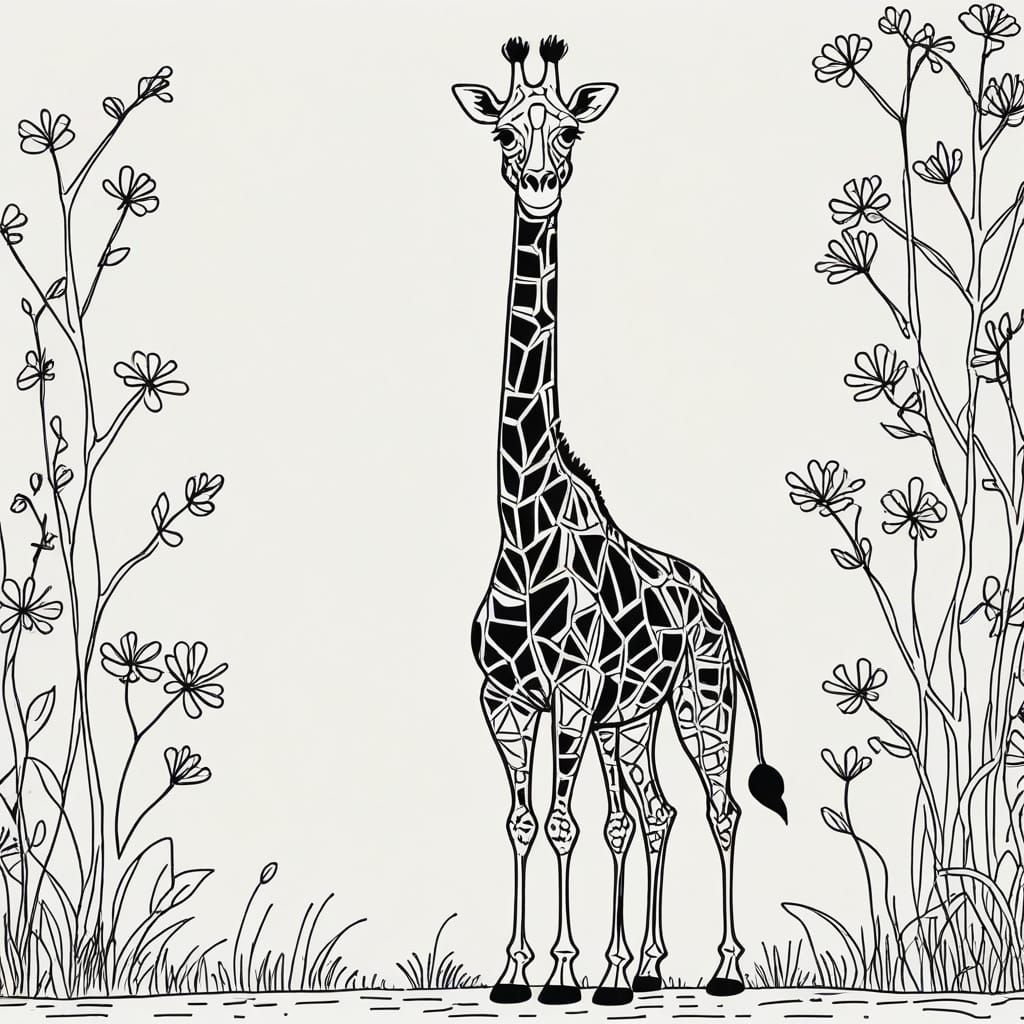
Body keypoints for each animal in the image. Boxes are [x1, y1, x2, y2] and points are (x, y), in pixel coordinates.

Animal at [453, 37, 788, 1008]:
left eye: (567, 129)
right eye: (502, 128)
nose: (539, 181)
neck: (521, 523)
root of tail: (717, 599)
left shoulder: (568, 693)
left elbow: (563, 823)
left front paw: (560, 975)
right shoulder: (504, 699)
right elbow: (525, 821)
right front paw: (518, 970)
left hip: (700, 701)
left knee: (714, 806)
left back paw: (717, 969)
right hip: (630, 723)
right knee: (650, 812)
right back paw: (637, 967)